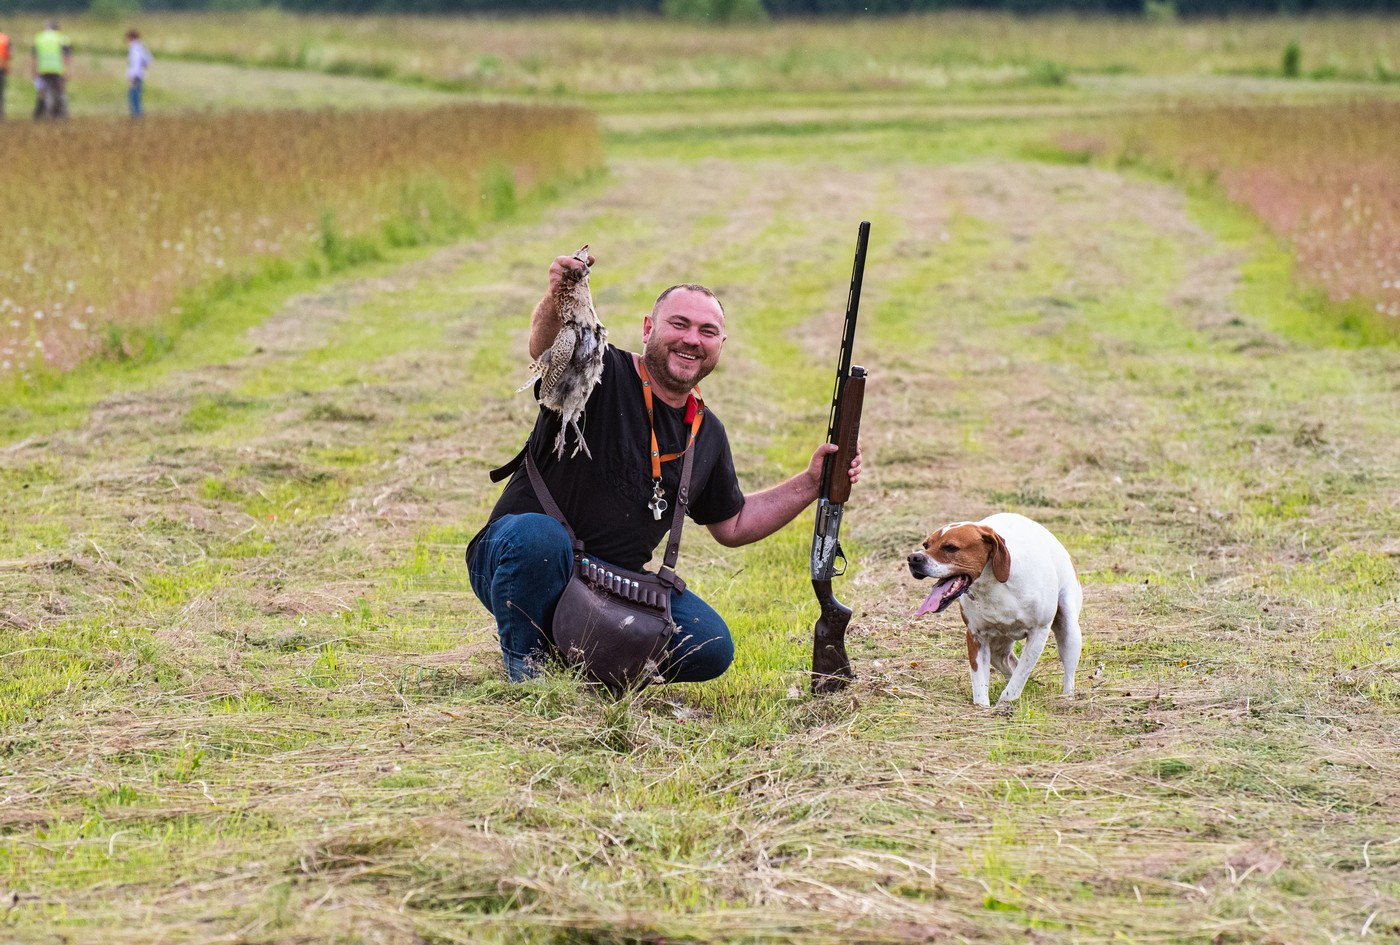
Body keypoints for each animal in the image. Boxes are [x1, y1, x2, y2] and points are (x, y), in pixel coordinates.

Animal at [907, 515, 1080, 705]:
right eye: (926, 545)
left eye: (951, 547)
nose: (913, 558)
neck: (993, 586)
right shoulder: (976, 637)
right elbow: (981, 687)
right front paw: (984, 708)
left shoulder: (1038, 633)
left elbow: (1017, 681)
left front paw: (1004, 704)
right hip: (998, 648)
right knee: (1011, 664)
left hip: (1069, 632)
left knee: (1067, 673)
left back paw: (1066, 699)